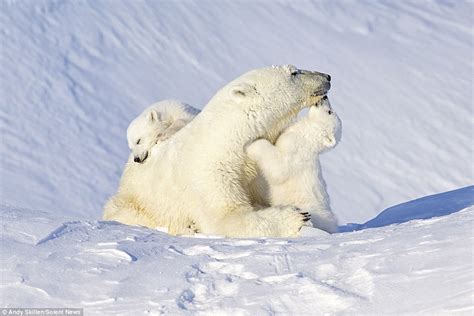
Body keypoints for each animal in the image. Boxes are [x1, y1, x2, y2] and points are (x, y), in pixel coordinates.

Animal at [103, 65, 330, 237]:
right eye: (294, 72)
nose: (327, 77)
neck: (231, 136)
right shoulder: (211, 169)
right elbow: (226, 216)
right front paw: (296, 216)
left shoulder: (257, 169)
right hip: (133, 202)